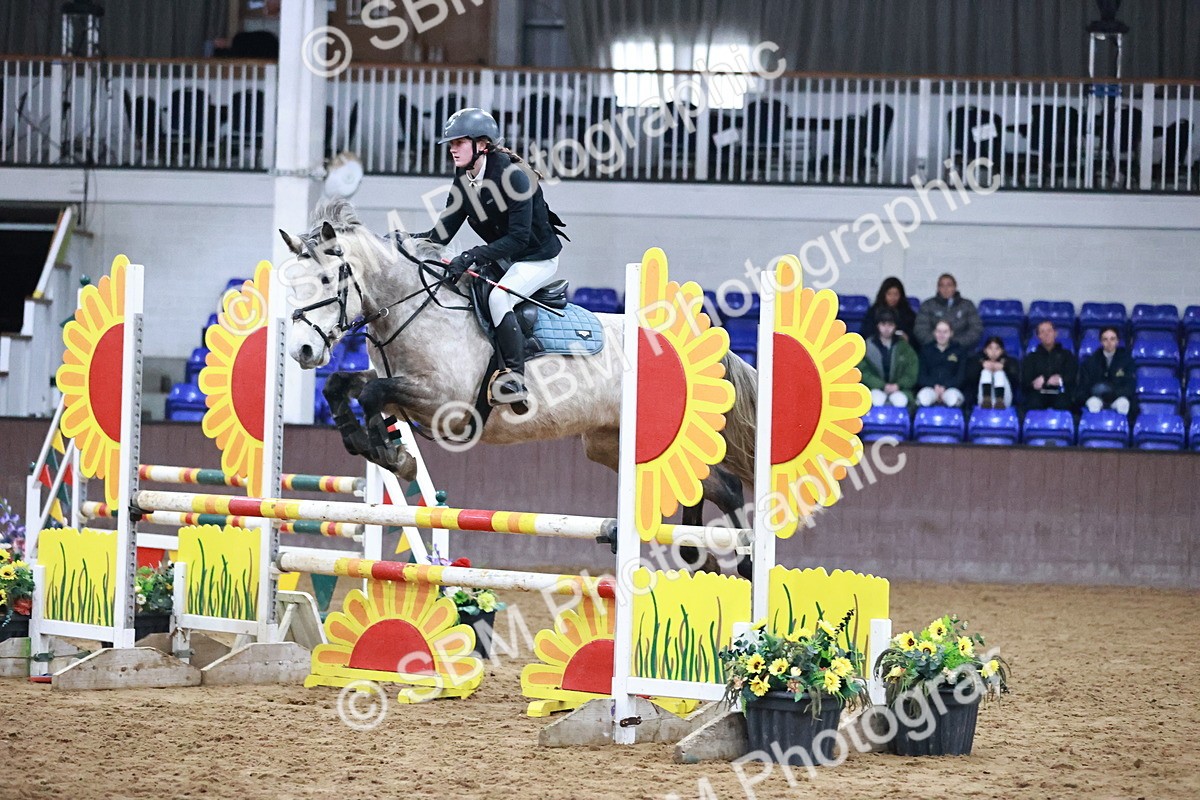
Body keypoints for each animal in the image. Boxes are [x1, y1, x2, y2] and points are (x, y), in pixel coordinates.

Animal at [278, 199, 757, 567]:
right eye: (292, 285)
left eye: (327, 279)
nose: (302, 350)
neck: (412, 310)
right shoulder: (404, 390)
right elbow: (343, 388)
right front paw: (381, 448)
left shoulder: (447, 405)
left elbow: (372, 395)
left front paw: (393, 455)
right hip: (610, 445)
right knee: (701, 484)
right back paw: (699, 559)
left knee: (726, 487)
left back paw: (743, 564)